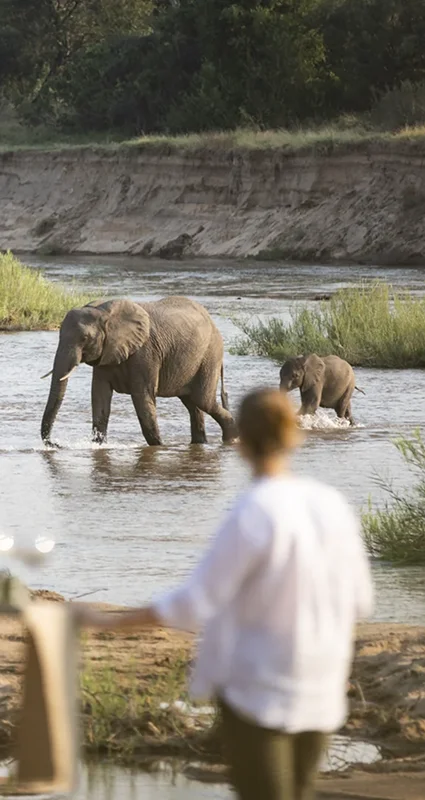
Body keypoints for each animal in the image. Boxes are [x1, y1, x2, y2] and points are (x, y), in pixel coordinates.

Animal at [40, 296, 237, 446]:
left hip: (210, 355)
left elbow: (142, 398)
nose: (55, 444)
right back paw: (200, 443)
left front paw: (159, 447)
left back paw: (232, 439)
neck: (104, 312)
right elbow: (99, 397)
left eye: (85, 338)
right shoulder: (106, 354)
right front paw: (98, 445)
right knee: (192, 403)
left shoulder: (145, 354)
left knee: (202, 400)